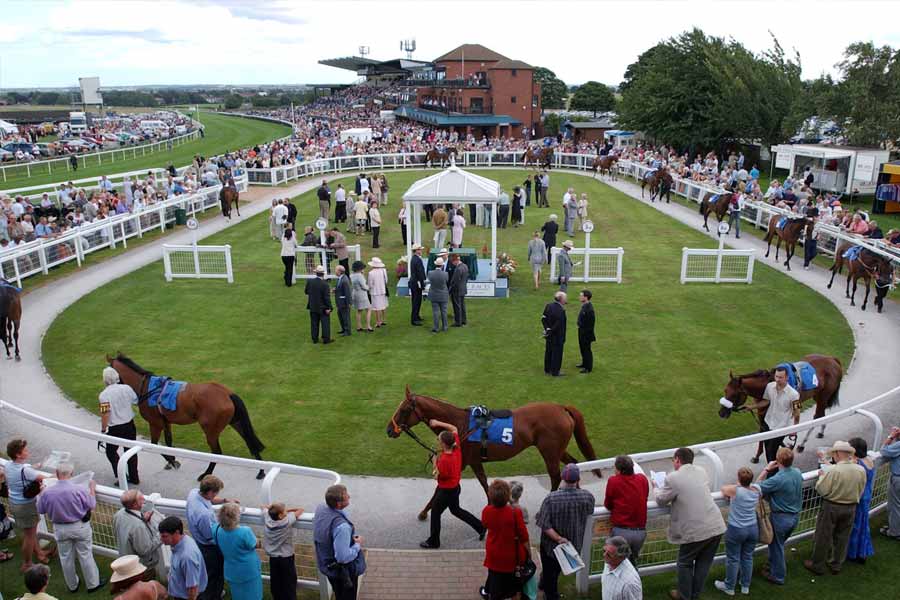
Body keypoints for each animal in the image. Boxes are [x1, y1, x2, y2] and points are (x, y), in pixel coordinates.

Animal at [107, 354, 266, 480]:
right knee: (249, 441)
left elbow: (155, 444)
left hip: (211, 430)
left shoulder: (155, 423)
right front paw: (171, 460)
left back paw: (205, 474)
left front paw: (173, 462)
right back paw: (261, 471)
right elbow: (169, 442)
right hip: (235, 422)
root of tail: (227, 393)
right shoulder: (166, 422)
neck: (147, 388)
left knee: (217, 452)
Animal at [384, 386, 600, 516]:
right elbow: (484, 483)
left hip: (549, 451)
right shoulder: (475, 461)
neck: (460, 424)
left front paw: (424, 512)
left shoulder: (463, 461)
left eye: (404, 410)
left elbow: (442, 486)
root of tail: (562, 408)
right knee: (572, 464)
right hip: (557, 450)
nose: (389, 430)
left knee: (555, 475)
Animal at [716, 354, 844, 462]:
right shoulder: (761, 412)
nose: (721, 413)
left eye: (734, 395)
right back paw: (821, 432)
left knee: (817, 416)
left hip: (824, 396)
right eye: (725, 390)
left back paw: (802, 444)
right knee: (821, 415)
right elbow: (762, 432)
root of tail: (833, 359)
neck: (767, 386)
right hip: (818, 396)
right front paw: (757, 456)